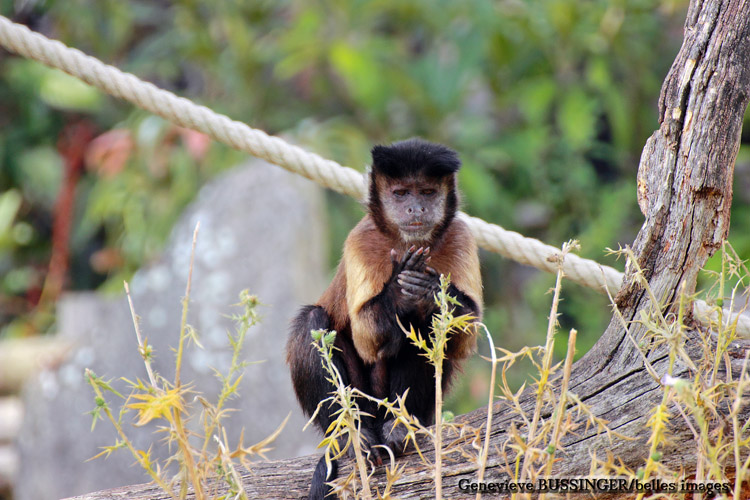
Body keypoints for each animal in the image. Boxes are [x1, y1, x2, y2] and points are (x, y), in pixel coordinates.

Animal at [284, 138, 484, 500]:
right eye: (401, 193)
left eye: (427, 192)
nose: (416, 209)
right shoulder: (362, 239)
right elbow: (367, 336)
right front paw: (400, 291)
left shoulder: (461, 235)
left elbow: (464, 337)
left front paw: (429, 289)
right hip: (363, 399)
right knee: (312, 321)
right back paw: (352, 433)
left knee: (424, 325)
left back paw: (399, 425)